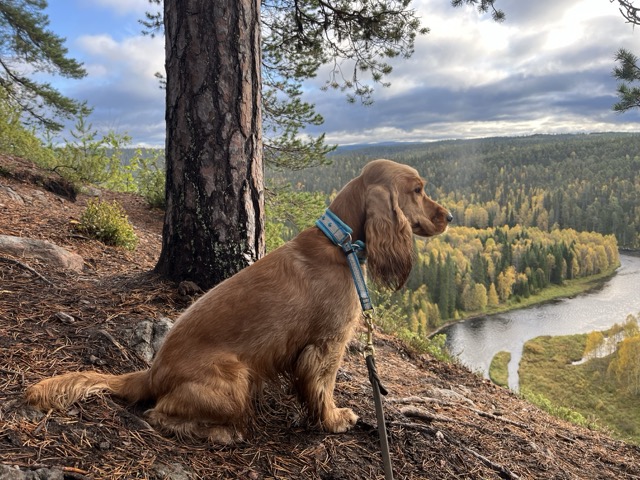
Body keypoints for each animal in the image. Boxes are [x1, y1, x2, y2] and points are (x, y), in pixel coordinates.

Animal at [26, 159, 452, 444]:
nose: (449, 215)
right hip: (236, 380)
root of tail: (151, 372)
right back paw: (221, 433)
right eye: (418, 190)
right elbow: (322, 389)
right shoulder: (328, 345)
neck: (339, 242)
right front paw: (333, 419)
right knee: (158, 414)